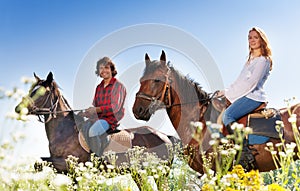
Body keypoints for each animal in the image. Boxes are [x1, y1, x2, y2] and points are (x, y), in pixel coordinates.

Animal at [14, 72, 178, 173]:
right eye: (31, 90)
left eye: (40, 92)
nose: (18, 109)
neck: (64, 131)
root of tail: (165, 136)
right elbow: (39, 163)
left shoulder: (70, 163)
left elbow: (39, 163)